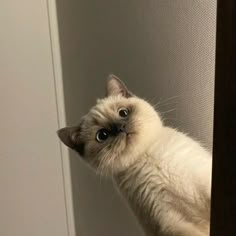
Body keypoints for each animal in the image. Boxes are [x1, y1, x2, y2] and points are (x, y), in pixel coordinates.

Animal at [57, 75, 212, 236]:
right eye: (102, 135)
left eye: (123, 113)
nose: (120, 128)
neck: (144, 157)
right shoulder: (170, 223)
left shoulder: (205, 183)